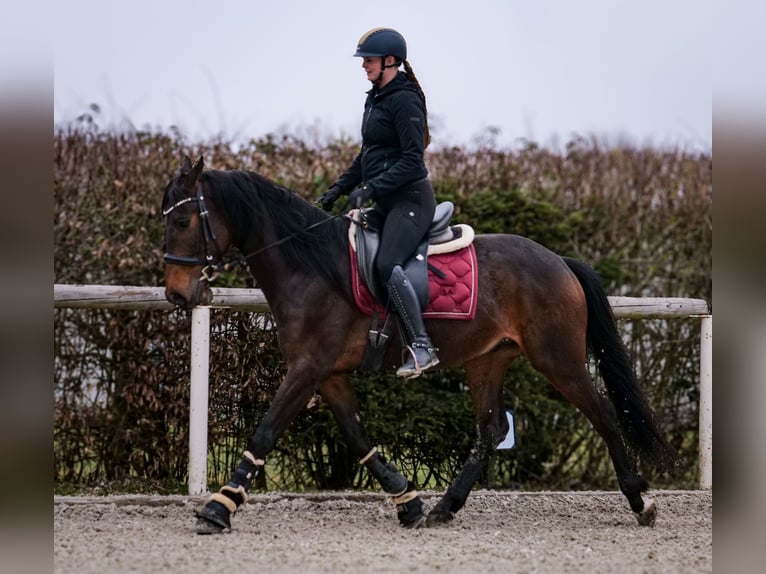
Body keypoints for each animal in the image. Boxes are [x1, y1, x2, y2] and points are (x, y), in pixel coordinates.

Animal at [164, 156, 680, 536]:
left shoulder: (307, 368)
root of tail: (558, 260)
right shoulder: (327, 373)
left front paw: (218, 507)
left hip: (558, 359)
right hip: (487, 361)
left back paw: (640, 501)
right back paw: (445, 507)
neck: (310, 265)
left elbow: (265, 432)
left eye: (185, 220)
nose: (177, 295)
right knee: (490, 431)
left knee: (604, 414)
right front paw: (407, 500)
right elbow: (358, 437)